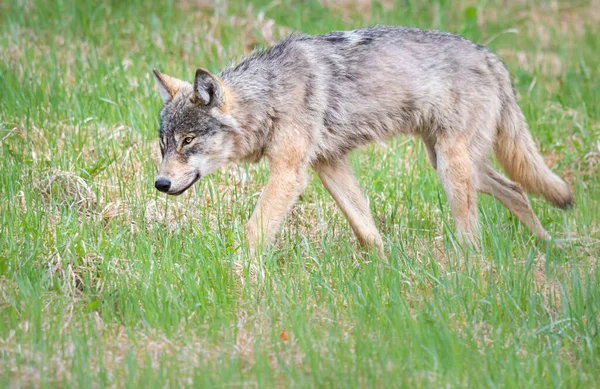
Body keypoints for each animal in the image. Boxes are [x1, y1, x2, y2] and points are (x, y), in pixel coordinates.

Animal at [150, 25, 572, 253]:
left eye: (189, 140)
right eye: (165, 144)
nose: (160, 183)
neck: (270, 95)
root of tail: (490, 56)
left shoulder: (290, 173)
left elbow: (255, 230)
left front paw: (244, 275)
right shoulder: (328, 165)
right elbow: (366, 231)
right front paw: (385, 269)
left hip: (453, 169)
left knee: (477, 229)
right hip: (451, 163)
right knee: (517, 189)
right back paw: (549, 246)